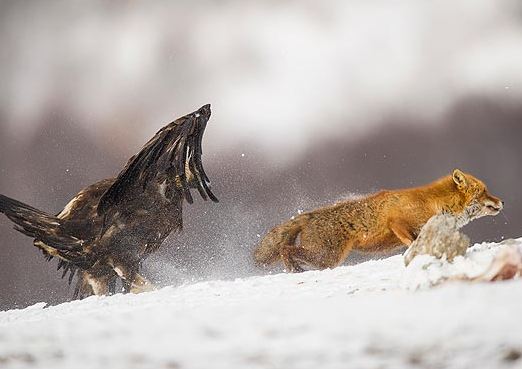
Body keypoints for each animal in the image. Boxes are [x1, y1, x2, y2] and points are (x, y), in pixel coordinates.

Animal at [254, 169, 502, 270]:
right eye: (485, 191)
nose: (502, 201)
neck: (433, 203)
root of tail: (309, 215)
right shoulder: (398, 222)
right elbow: (412, 241)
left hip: (325, 258)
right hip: (327, 257)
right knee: (285, 249)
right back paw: (294, 270)